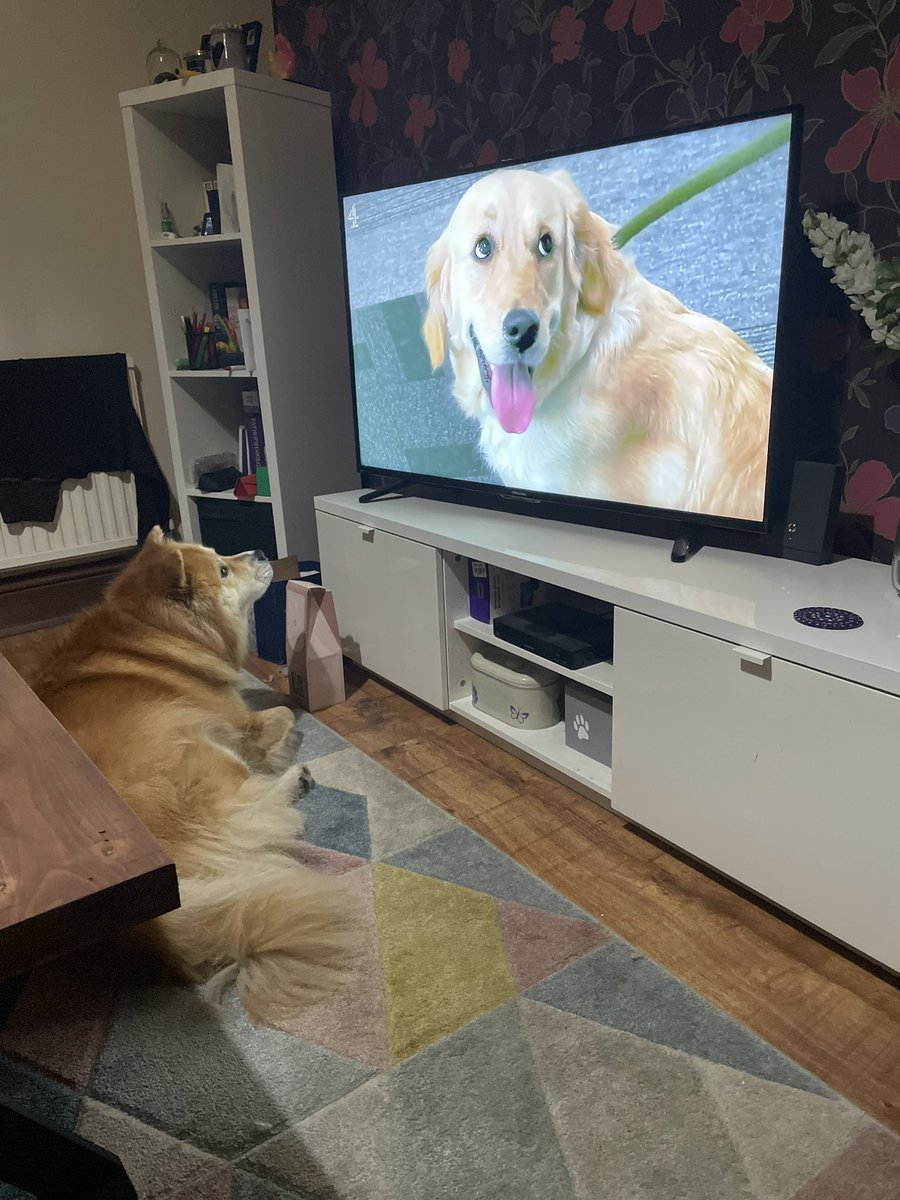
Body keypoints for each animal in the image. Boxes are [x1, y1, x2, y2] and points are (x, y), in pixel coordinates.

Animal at [28, 530, 352, 1027]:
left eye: (221, 555)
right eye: (223, 569)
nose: (262, 550)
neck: (155, 634)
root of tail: (151, 916)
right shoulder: (240, 723)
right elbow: (279, 711)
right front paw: (286, 739)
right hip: (193, 743)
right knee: (257, 811)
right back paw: (294, 780)